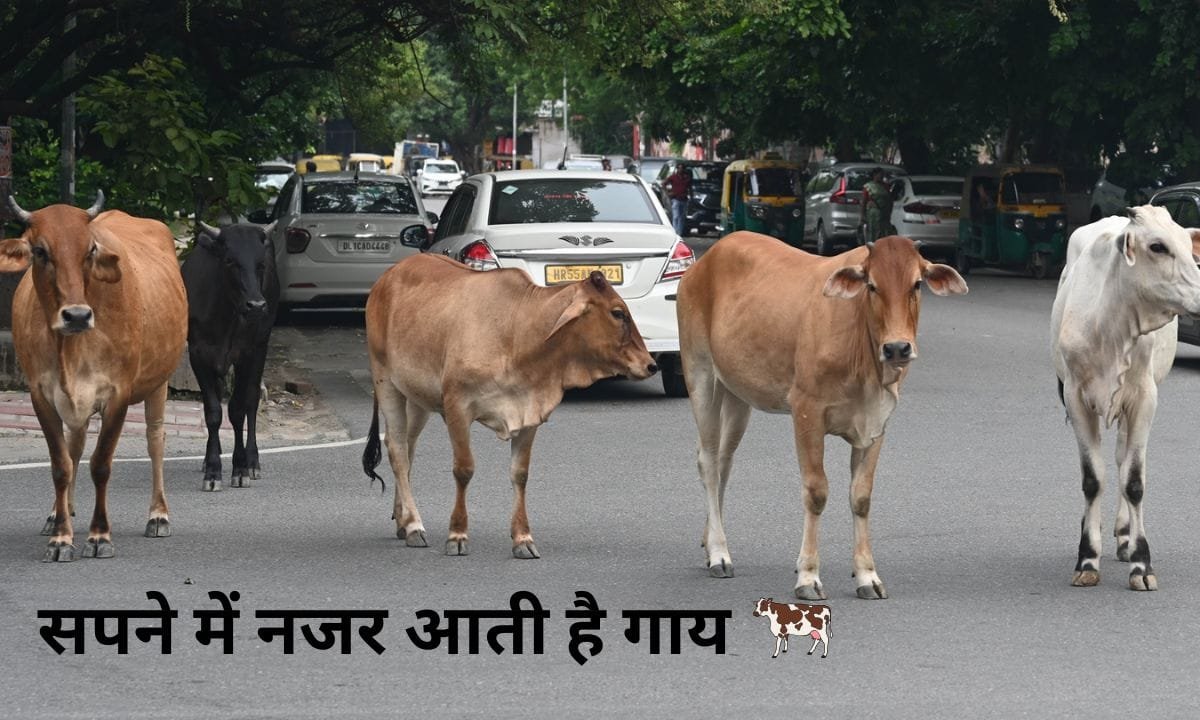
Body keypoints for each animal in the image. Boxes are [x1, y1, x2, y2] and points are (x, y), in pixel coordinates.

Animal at [0, 192, 188, 562]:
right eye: (40, 251)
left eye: (90, 249)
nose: (76, 315)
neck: (69, 348)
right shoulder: (41, 395)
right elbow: (61, 464)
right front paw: (61, 537)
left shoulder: (119, 394)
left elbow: (101, 464)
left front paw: (99, 535)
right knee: (75, 447)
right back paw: (59, 513)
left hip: (159, 383)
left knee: (155, 440)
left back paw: (158, 515)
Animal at [181, 221, 280, 491]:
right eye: (230, 261)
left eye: (261, 264)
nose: (256, 305)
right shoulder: (198, 355)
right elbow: (213, 412)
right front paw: (213, 470)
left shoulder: (248, 353)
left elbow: (238, 410)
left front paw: (241, 468)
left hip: (262, 346)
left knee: (252, 400)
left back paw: (253, 462)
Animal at [362, 253, 658, 558]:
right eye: (618, 313)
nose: (651, 365)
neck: (517, 334)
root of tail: (389, 275)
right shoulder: (457, 407)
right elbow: (464, 469)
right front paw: (457, 534)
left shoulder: (529, 414)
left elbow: (520, 474)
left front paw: (523, 539)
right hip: (386, 382)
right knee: (398, 452)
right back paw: (413, 525)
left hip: (417, 399)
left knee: (406, 449)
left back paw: (403, 519)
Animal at [677, 232, 967, 599]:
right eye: (871, 285)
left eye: (917, 284)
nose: (897, 348)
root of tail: (708, 258)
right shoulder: (807, 412)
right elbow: (816, 492)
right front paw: (808, 576)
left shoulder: (877, 422)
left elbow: (861, 497)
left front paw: (867, 575)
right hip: (700, 373)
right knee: (707, 461)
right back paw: (719, 553)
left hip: (737, 394)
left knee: (722, 462)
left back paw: (710, 541)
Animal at [1050, 207, 1200, 591]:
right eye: (1157, 246)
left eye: (1187, 243)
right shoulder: (1075, 397)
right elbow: (1092, 480)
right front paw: (1087, 557)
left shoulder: (1144, 398)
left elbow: (1133, 481)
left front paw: (1141, 561)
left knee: (1121, 459)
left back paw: (1123, 535)